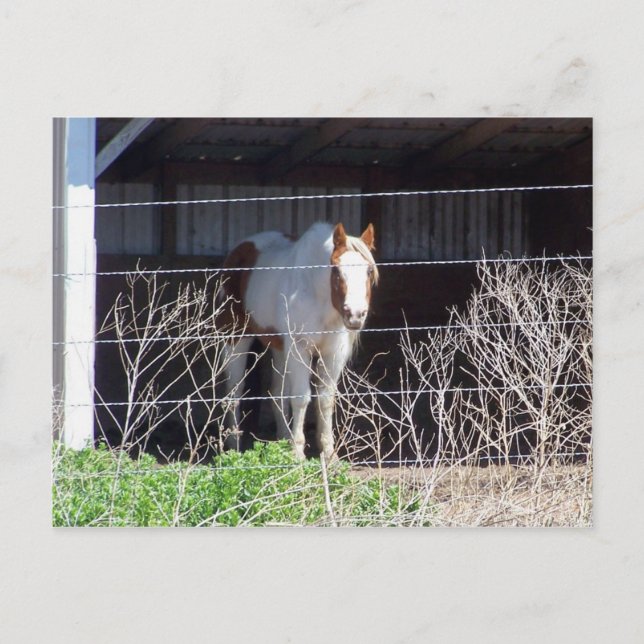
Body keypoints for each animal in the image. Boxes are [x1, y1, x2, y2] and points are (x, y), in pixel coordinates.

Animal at [220, 221, 378, 460]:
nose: (355, 314)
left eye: (368, 270)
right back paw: (234, 444)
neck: (318, 297)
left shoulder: (334, 353)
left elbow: (325, 399)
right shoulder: (299, 349)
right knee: (235, 391)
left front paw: (329, 453)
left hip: (279, 348)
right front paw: (298, 453)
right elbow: (302, 397)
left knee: (277, 392)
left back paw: (283, 439)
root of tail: (242, 247)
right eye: (336, 270)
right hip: (237, 338)